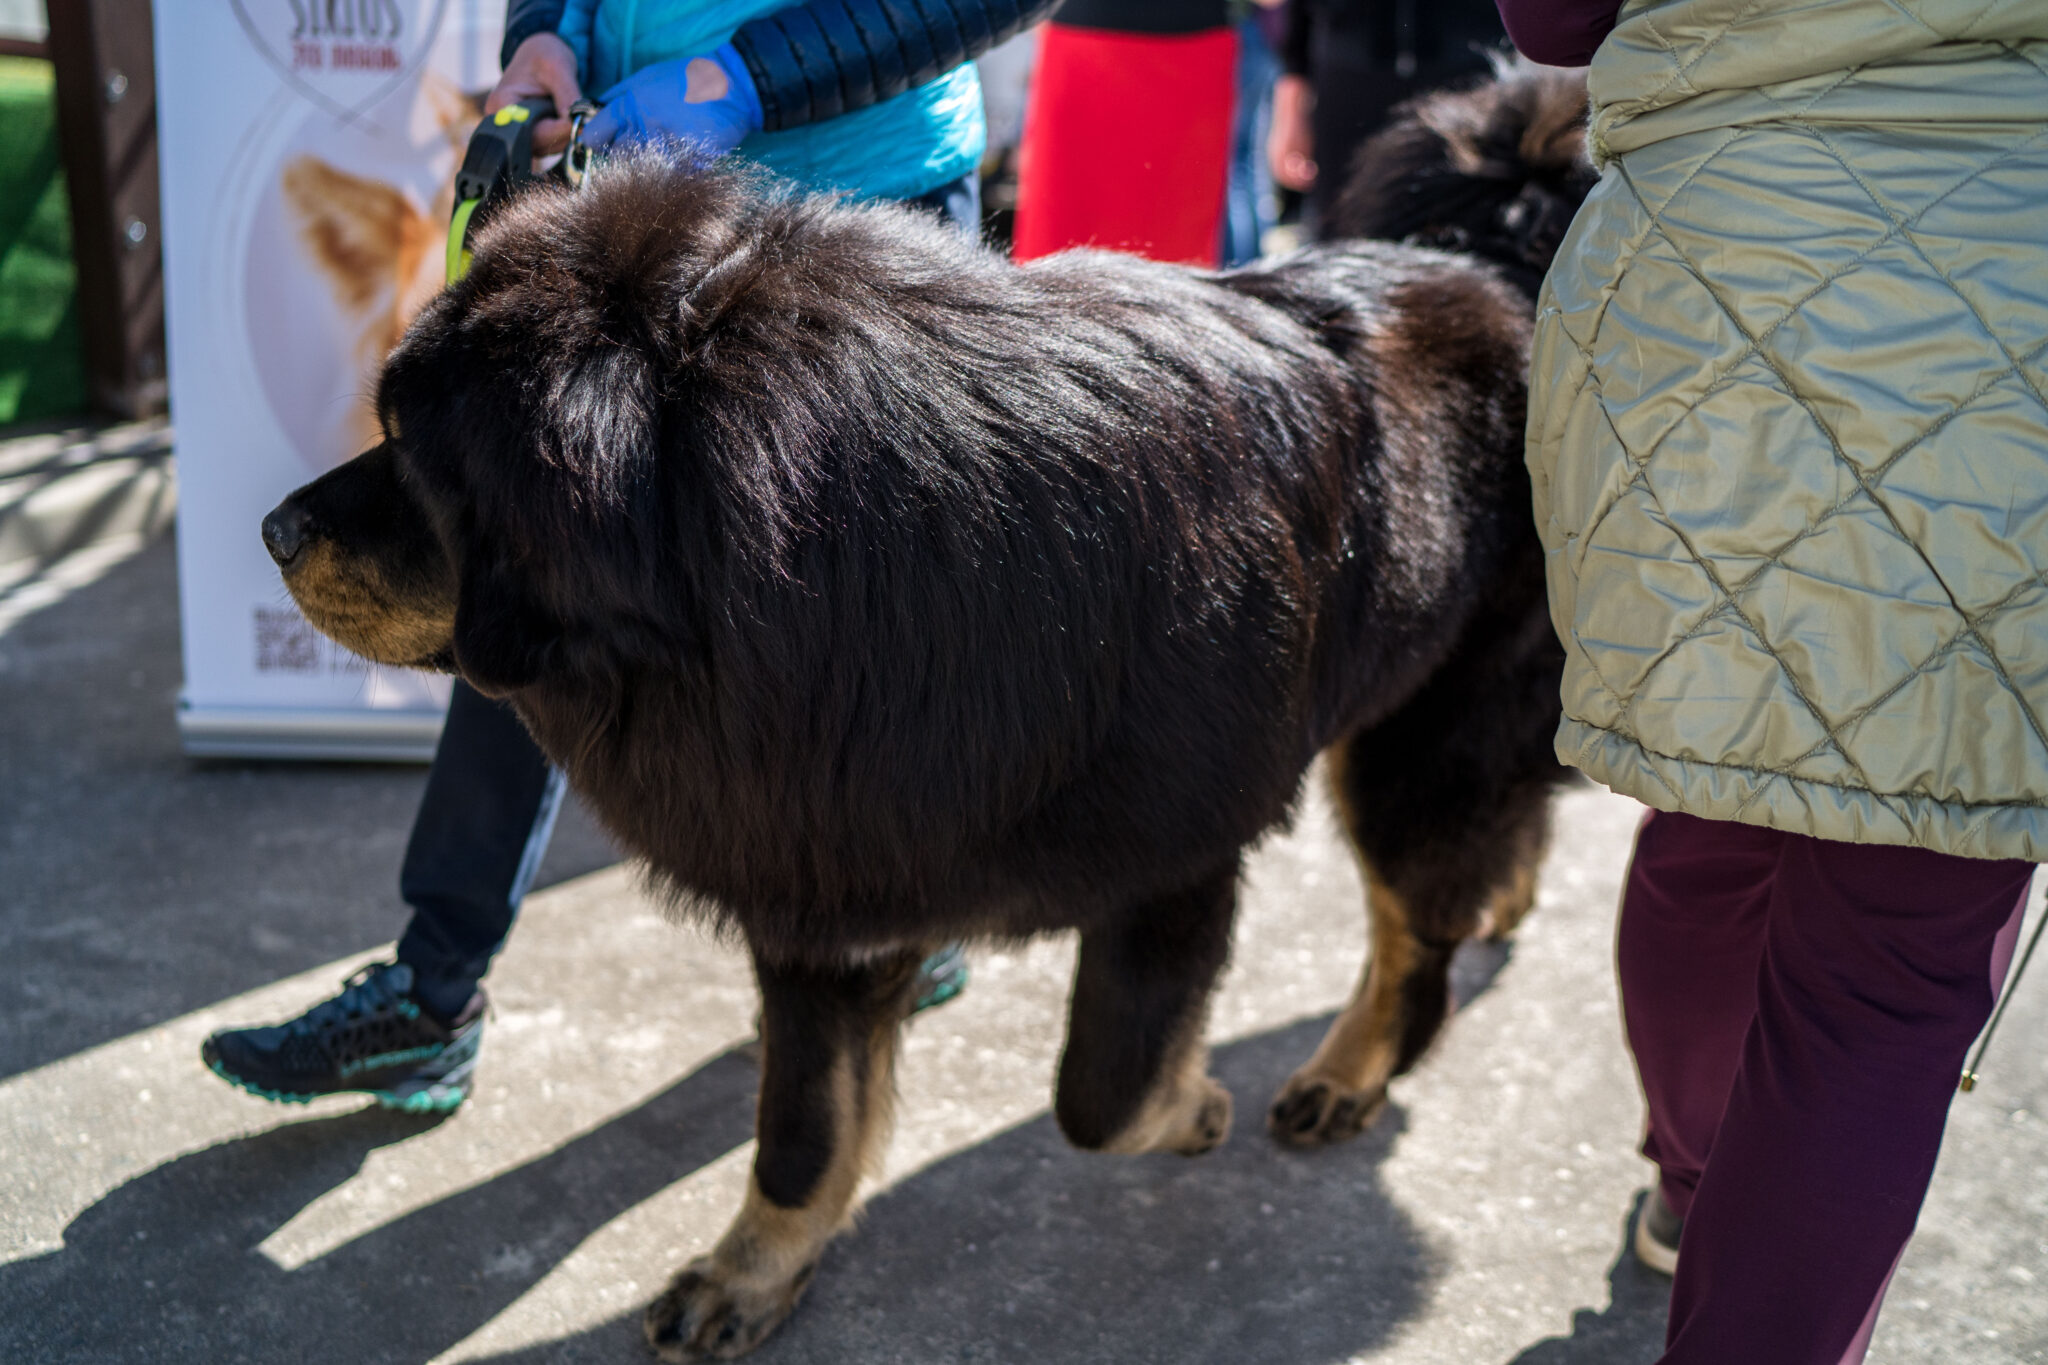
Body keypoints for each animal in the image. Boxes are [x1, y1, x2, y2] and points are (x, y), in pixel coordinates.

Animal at [260, 61, 1597, 1358]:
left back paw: (1353, 1067)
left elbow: (1106, 1096)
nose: (273, 529)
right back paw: (1500, 900)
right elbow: (803, 1126)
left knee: (1411, 931)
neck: (870, 577)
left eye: (414, 453)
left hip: (1420, 736)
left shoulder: (1174, 865)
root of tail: (1501, 262)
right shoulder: (824, 883)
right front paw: (756, 1269)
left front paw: (1195, 1108)